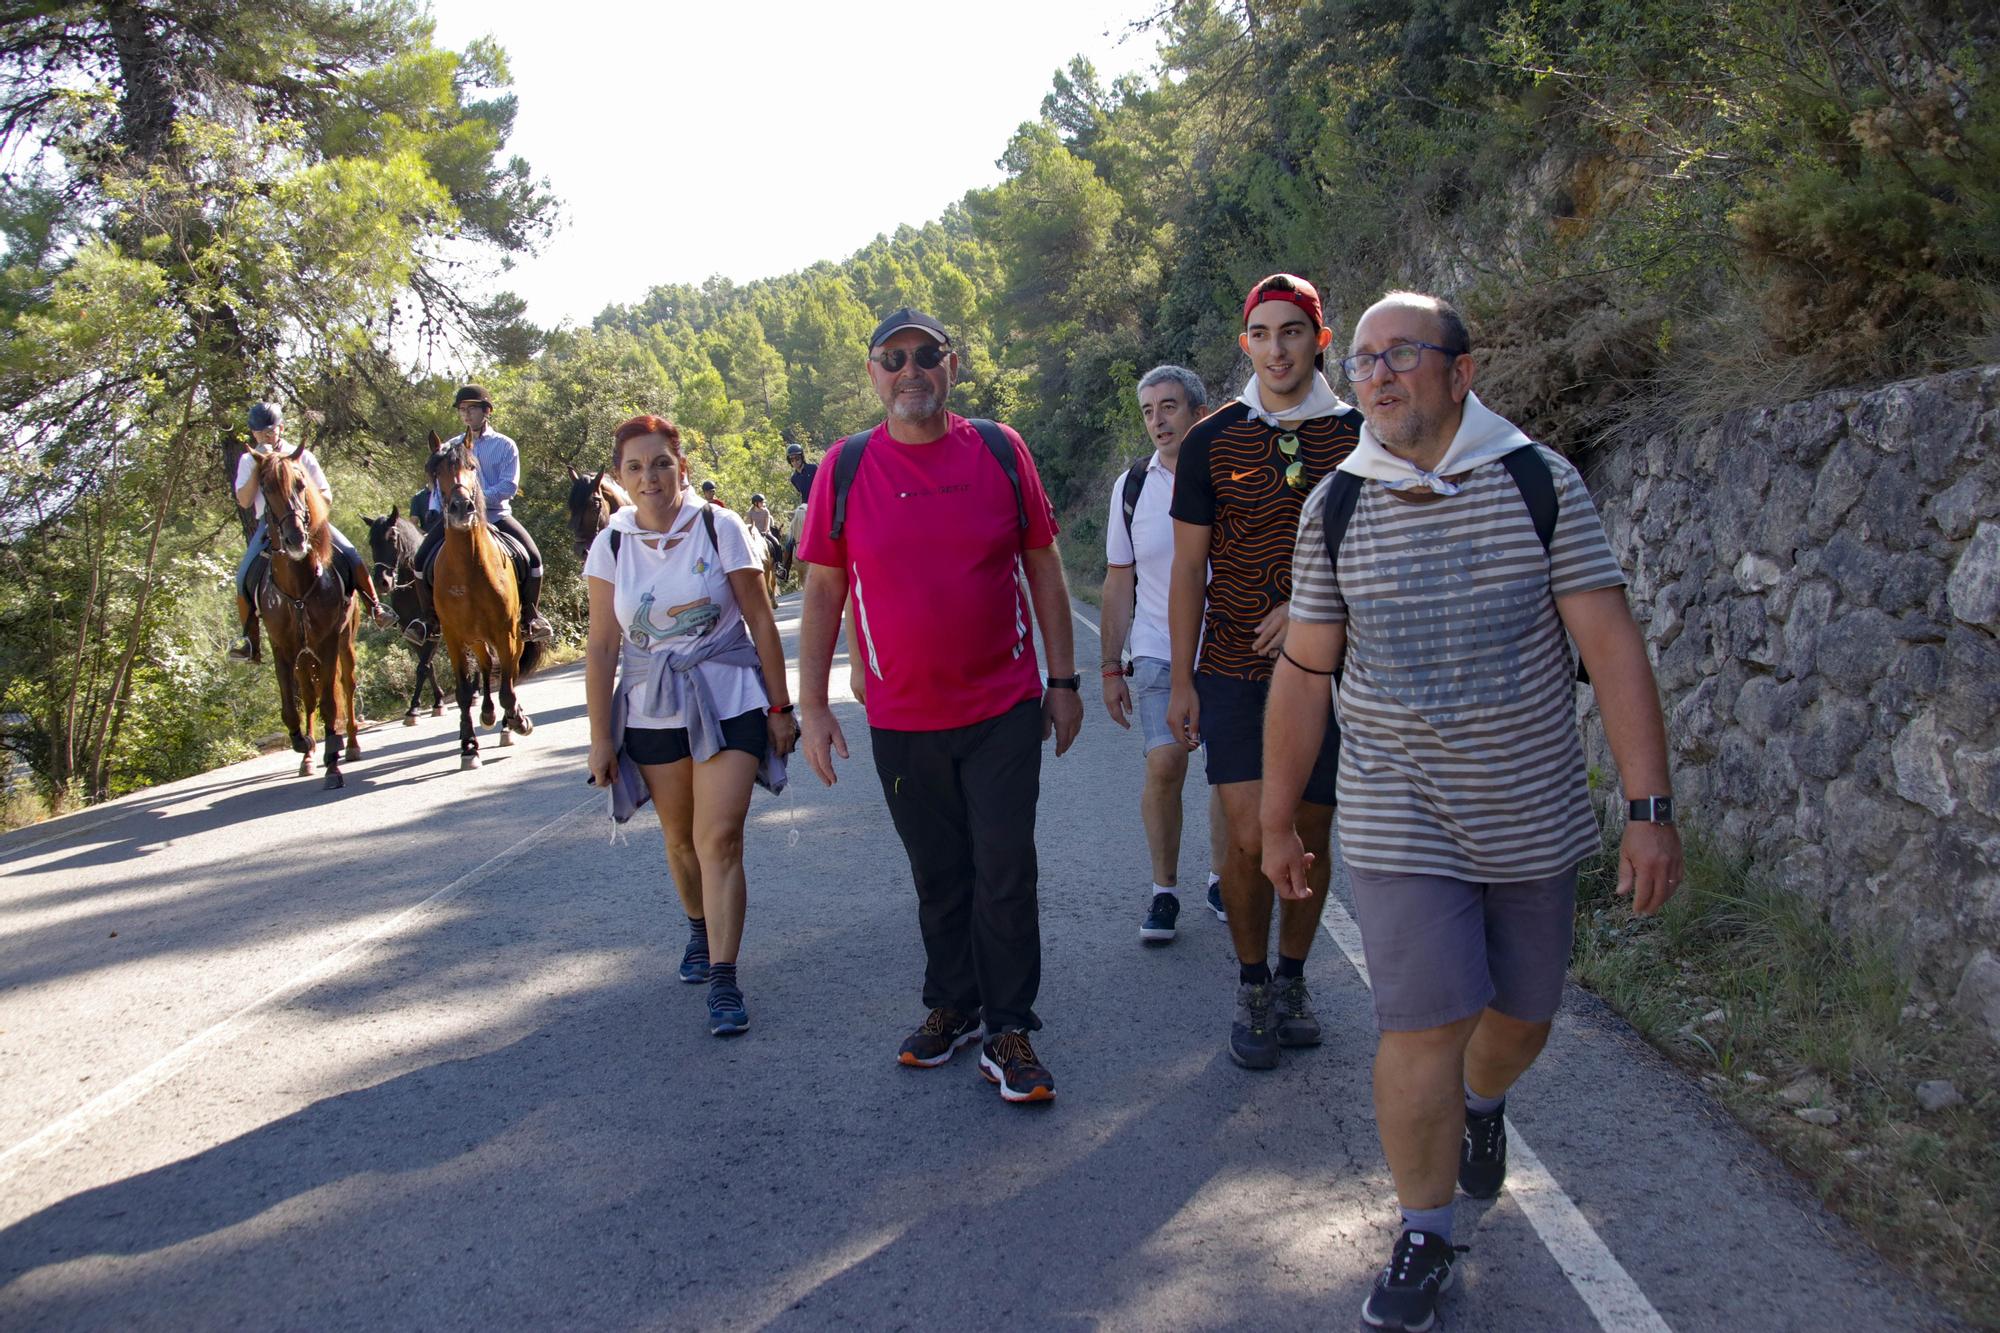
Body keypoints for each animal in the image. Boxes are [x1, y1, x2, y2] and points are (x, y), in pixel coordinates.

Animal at [254, 446, 364, 784]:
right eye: (265, 488)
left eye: (301, 484)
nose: (296, 539)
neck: (298, 589)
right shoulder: (282, 648)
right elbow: (292, 706)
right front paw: (303, 743)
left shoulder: (328, 642)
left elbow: (330, 702)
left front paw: (333, 763)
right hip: (304, 658)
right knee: (309, 694)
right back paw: (309, 756)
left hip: (344, 642)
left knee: (346, 686)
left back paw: (351, 745)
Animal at [430, 430, 540, 764]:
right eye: (436, 472)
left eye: (472, 467)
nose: (461, 506)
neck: (469, 569)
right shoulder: (453, 637)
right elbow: (465, 691)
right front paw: (468, 746)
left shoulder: (506, 632)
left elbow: (507, 686)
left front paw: (517, 720)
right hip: (477, 638)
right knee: (487, 666)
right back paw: (489, 715)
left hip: (513, 633)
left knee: (509, 674)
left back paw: (508, 722)